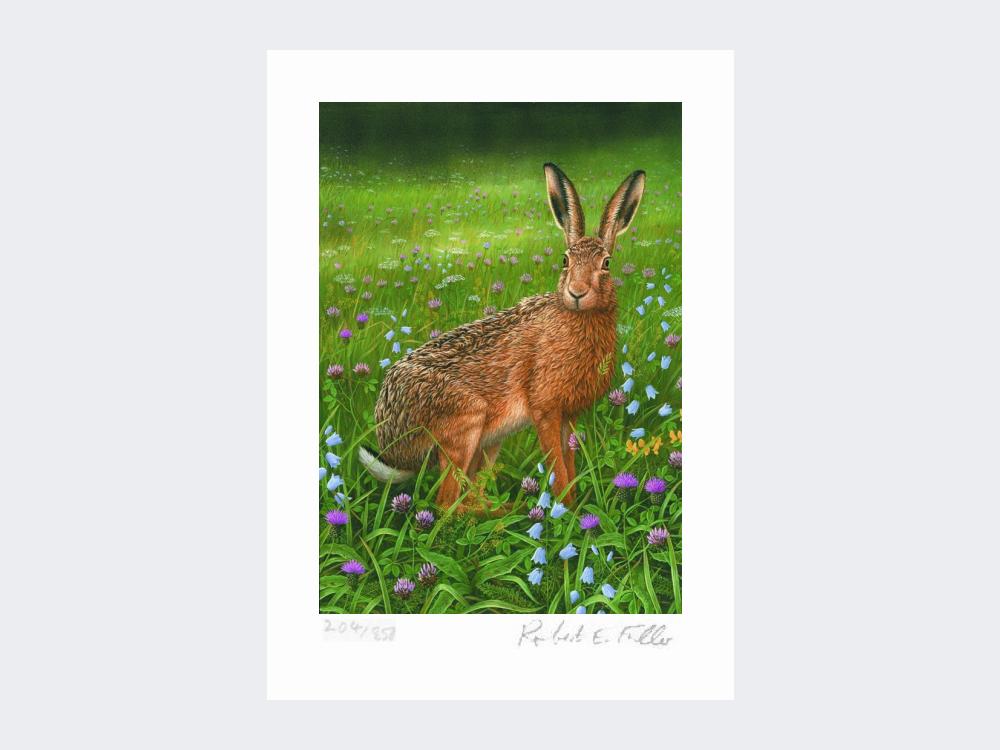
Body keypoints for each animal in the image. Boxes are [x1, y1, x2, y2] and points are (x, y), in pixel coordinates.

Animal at [359, 163, 645, 512]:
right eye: (565, 261)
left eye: (606, 264)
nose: (577, 293)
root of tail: (391, 440)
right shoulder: (545, 410)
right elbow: (558, 466)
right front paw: (565, 508)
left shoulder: (569, 416)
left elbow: (570, 461)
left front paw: (574, 506)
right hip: (463, 424)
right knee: (446, 505)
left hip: (488, 442)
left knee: (469, 495)